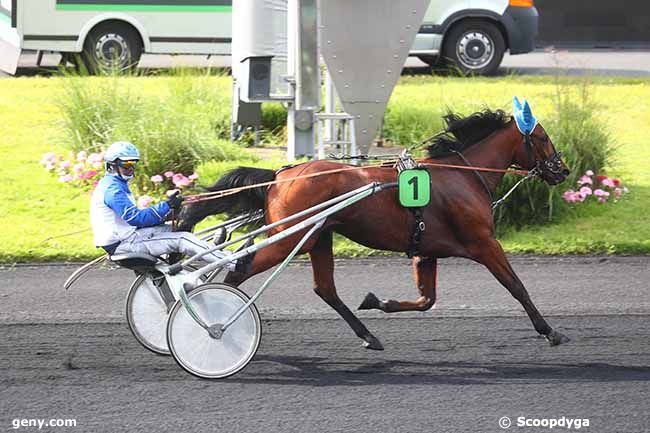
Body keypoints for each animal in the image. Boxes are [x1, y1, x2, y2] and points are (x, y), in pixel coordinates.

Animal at [176, 106, 568, 350]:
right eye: (543, 137)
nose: (561, 170)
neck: (465, 175)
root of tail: (280, 176)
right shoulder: (484, 243)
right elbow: (516, 286)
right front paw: (550, 331)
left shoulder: (425, 251)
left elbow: (426, 300)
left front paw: (378, 301)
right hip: (292, 239)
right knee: (240, 268)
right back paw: (216, 319)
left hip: (318, 236)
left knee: (324, 288)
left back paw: (368, 336)